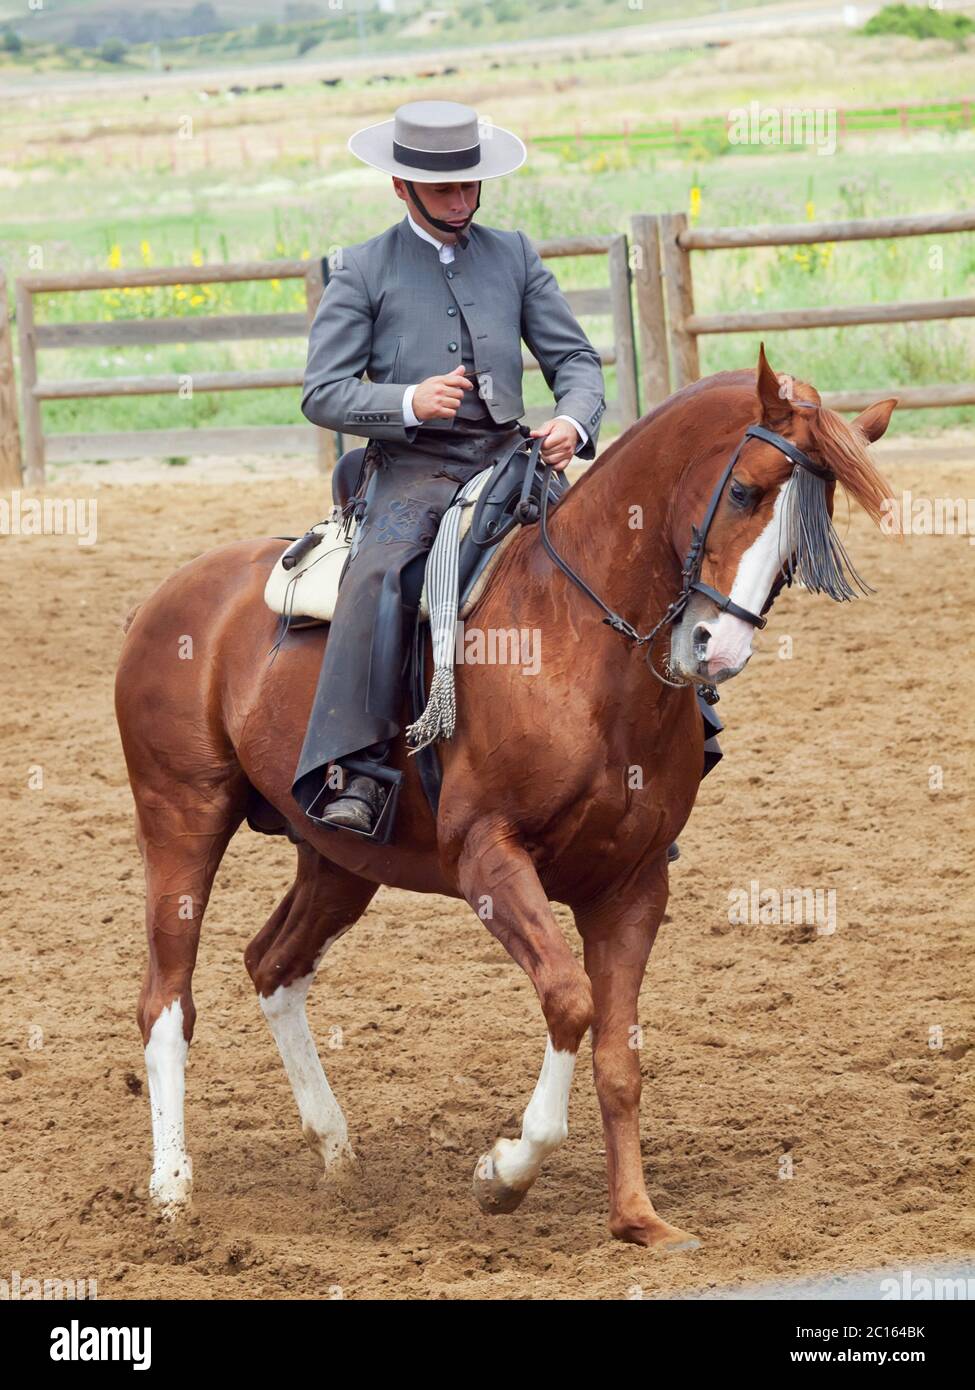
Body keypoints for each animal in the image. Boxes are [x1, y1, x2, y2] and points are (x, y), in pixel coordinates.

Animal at [115, 347, 896, 1249]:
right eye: (744, 491)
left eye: (809, 530)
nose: (714, 647)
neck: (578, 646)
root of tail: (169, 597)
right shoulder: (490, 859)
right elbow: (570, 1001)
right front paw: (504, 1174)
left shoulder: (632, 885)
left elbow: (619, 1053)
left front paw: (637, 1219)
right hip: (182, 821)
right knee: (167, 1002)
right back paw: (172, 1190)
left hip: (340, 859)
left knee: (273, 964)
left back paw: (336, 1151)